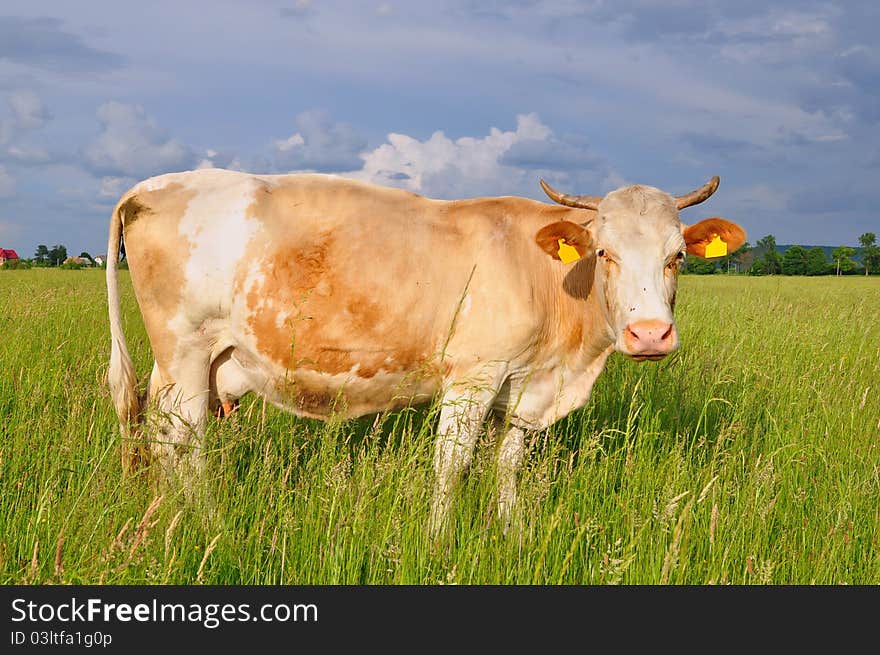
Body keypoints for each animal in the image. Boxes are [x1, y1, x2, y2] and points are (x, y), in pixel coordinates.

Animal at [106, 168, 744, 532]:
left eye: (677, 256)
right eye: (605, 252)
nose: (651, 335)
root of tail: (151, 185)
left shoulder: (524, 387)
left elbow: (507, 463)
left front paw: (510, 532)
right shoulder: (474, 376)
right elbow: (451, 464)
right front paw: (439, 539)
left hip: (199, 360)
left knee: (162, 430)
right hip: (185, 348)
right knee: (181, 436)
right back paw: (203, 519)